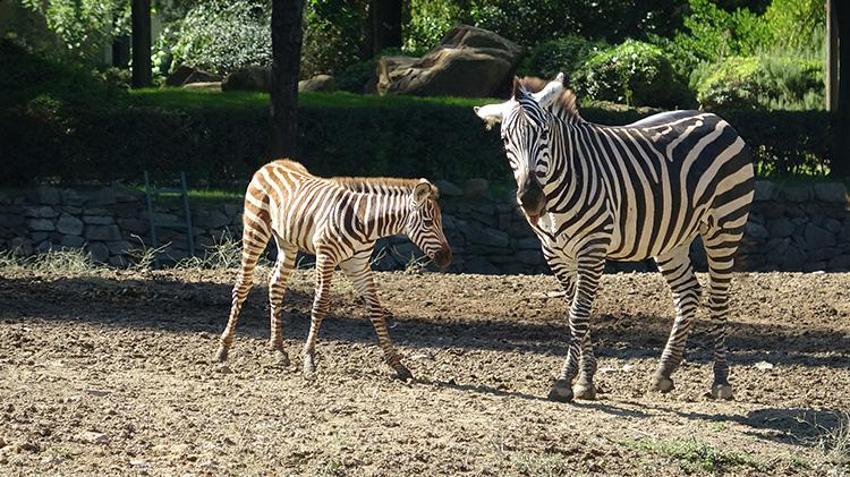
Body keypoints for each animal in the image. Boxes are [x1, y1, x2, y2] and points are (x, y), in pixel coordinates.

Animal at [215, 159, 452, 380]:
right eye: (428, 222)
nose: (447, 258)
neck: (365, 221)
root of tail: (272, 163)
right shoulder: (326, 256)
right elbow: (320, 304)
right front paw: (309, 360)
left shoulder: (359, 265)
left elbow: (376, 310)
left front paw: (397, 365)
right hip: (255, 229)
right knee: (242, 285)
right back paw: (223, 350)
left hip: (286, 241)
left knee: (276, 285)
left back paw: (279, 350)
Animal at [474, 74, 754, 402]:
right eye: (506, 139)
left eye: (544, 133)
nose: (531, 199)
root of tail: (715, 117)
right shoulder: (554, 253)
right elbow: (574, 311)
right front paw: (585, 379)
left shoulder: (592, 249)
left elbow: (579, 314)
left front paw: (565, 381)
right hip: (672, 238)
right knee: (688, 293)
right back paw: (664, 372)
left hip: (726, 223)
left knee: (719, 298)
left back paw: (720, 379)